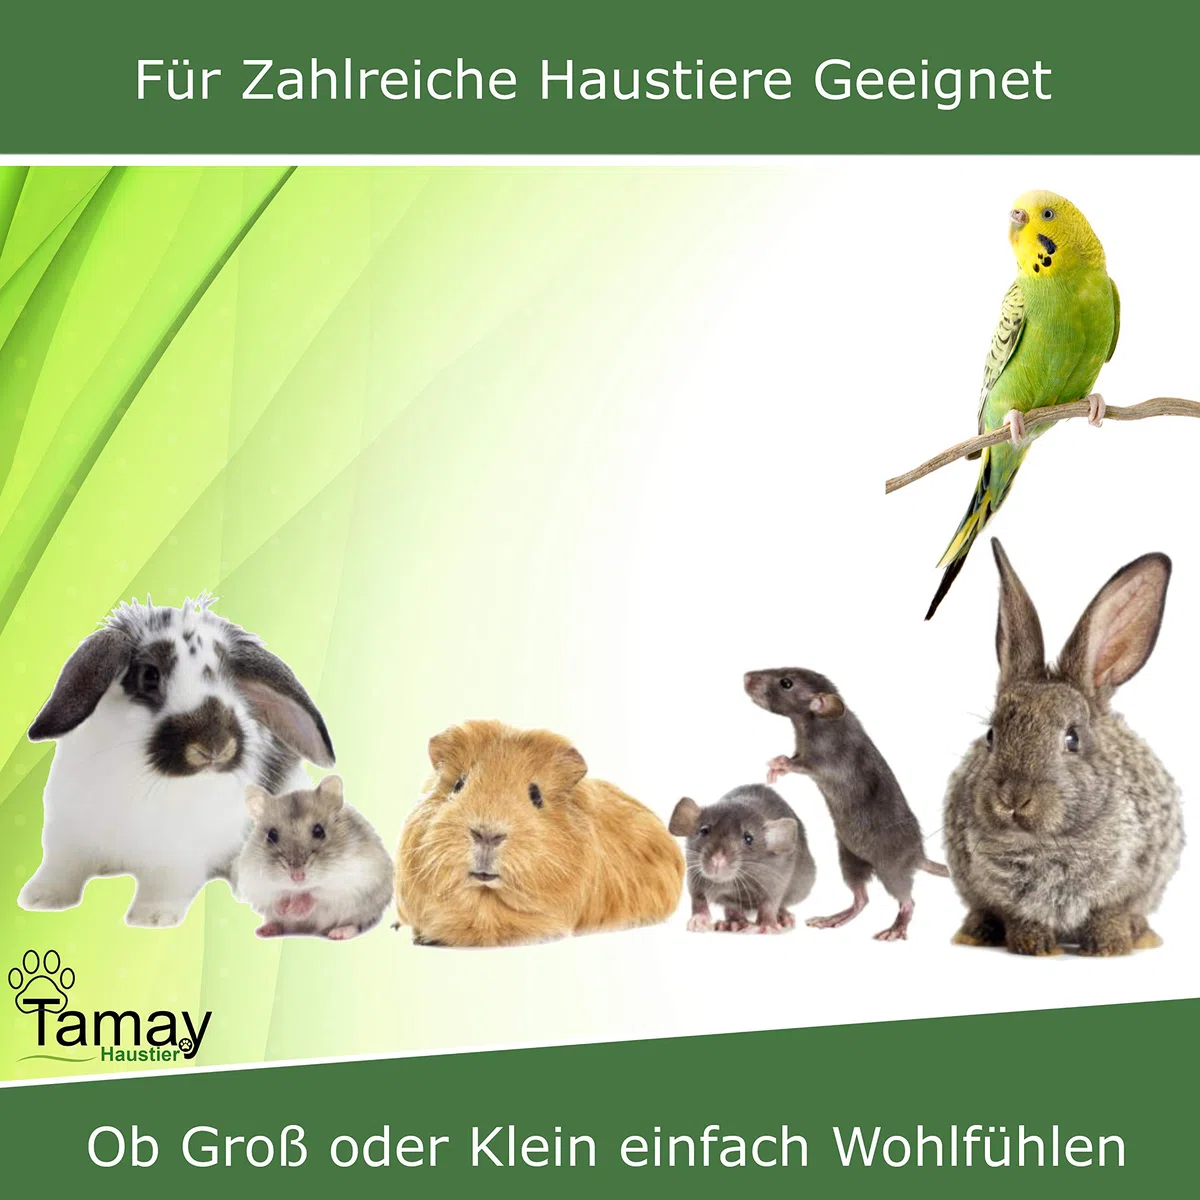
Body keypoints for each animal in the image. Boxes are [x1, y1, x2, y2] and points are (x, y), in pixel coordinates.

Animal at [19, 595, 335, 928]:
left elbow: (164, 884)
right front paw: (41, 898)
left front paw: (152, 917)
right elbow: (62, 869)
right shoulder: (68, 834)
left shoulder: (176, 856)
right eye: (149, 676)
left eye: (232, 681)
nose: (215, 746)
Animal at [944, 539, 1184, 957]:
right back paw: (975, 933)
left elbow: (1110, 914)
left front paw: (1110, 947)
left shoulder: (1128, 884)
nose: (1013, 798)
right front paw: (1036, 945)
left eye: (1072, 738)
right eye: (991, 736)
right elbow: (1019, 917)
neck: (1046, 843)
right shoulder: (1001, 895)